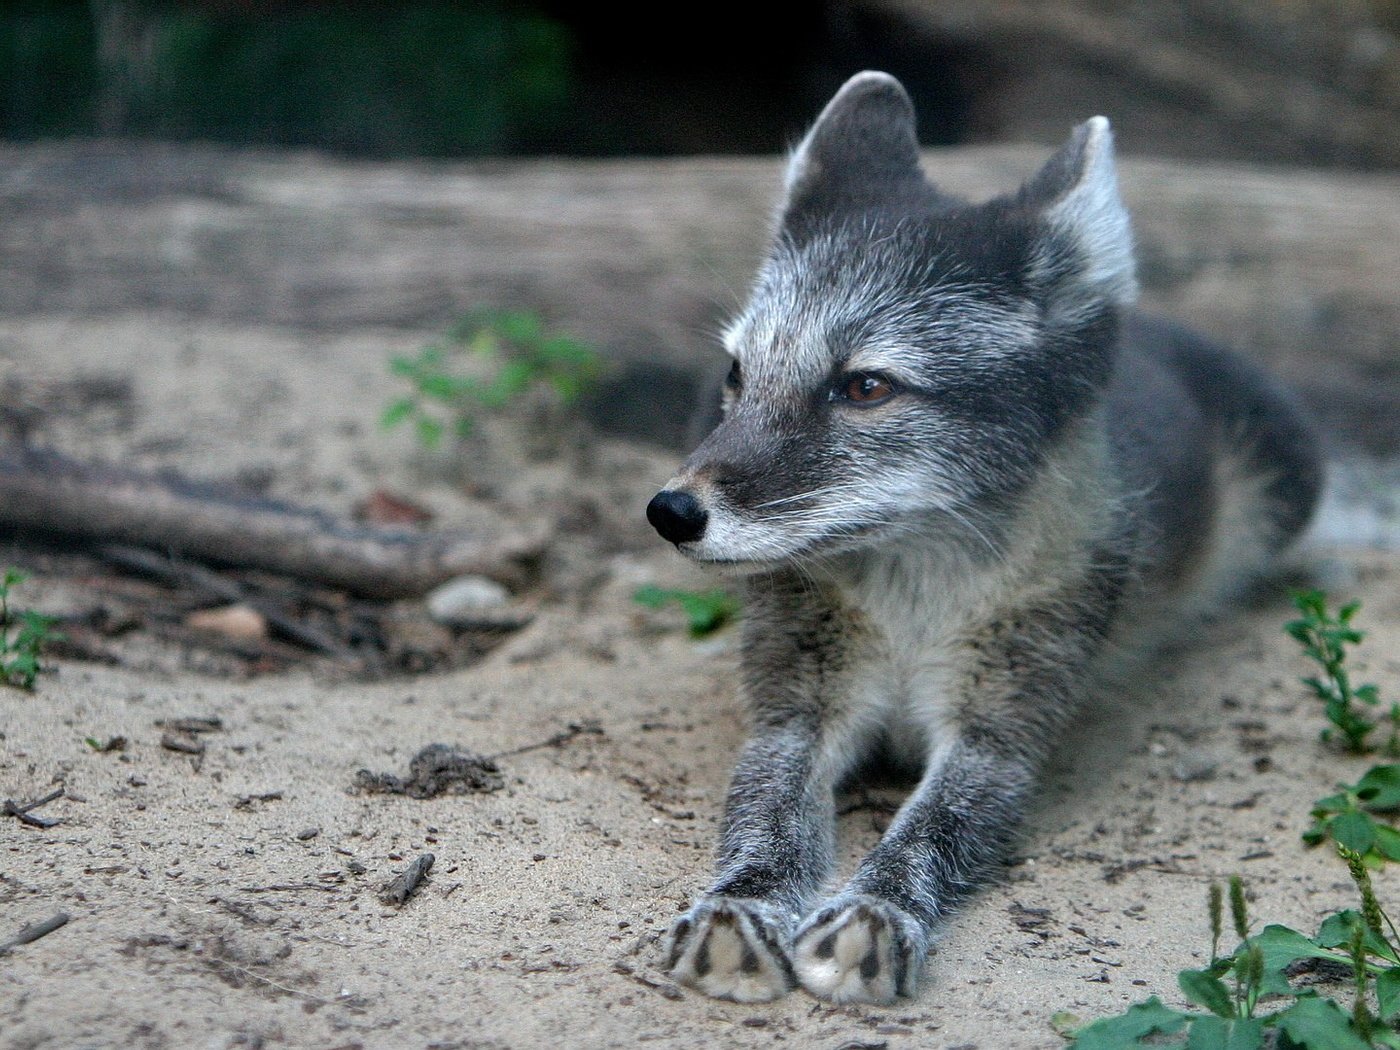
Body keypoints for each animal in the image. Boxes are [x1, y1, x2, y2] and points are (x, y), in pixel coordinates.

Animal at [644, 70, 1321, 1008]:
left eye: (865, 387)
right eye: (738, 375)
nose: (671, 511)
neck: (914, 606)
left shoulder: (1003, 735)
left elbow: (932, 827)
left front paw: (876, 911)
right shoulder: (793, 713)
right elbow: (764, 815)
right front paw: (740, 906)